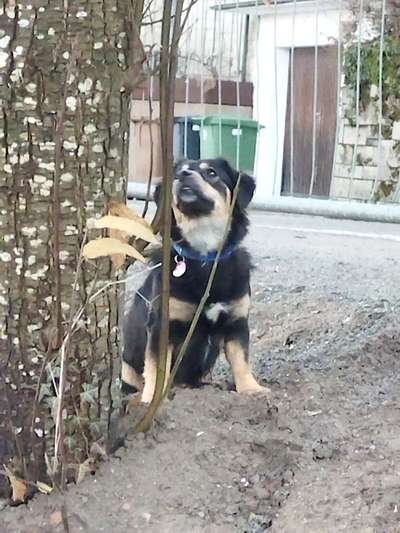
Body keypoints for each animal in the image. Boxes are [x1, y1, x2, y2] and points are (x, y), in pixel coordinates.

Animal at [121, 156, 268, 402]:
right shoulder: (162, 326)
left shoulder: (236, 322)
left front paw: (251, 389)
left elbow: (241, 361)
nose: (184, 175)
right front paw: (151, 398)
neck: (204, 258)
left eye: (211, 173)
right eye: (177, 173)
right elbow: (155, 368)